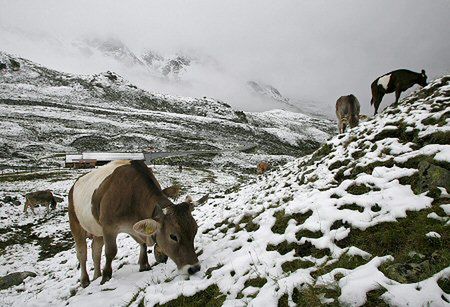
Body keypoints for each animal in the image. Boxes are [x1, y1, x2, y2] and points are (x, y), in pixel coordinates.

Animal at [68, 160, 207, 288]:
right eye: (173, 236)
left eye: (195, 231)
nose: (194, 268)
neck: (132, 195)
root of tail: (73, 186)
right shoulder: (108, 227)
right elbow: (111, 251)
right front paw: (106, 277)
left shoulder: (134, 226)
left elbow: (143, 243)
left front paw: (144, 265)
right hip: (75, 223)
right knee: (82, 253)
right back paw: (85, 281)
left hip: (97, 231)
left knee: (96, 251)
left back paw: (96, 275)